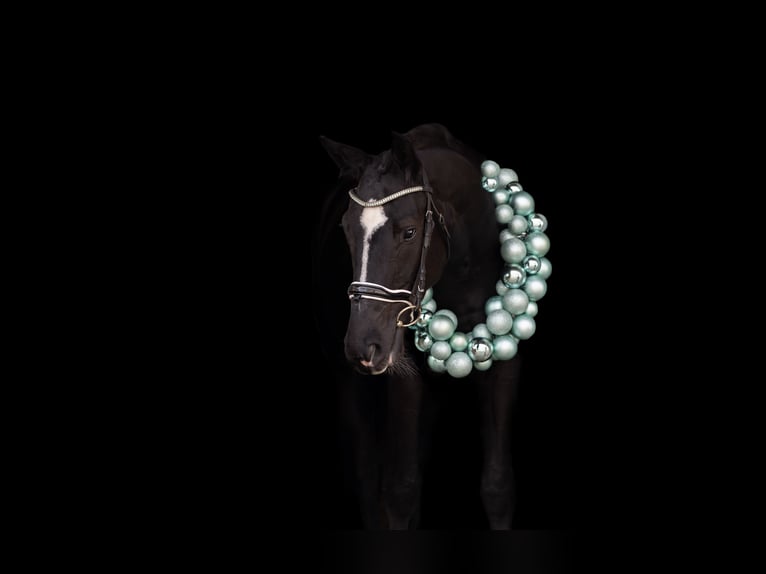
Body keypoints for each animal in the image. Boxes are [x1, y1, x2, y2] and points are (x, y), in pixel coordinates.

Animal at [312, 123, 551, 529]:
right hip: (352, 387)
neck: (462, 274)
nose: (363, 347)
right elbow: (399, 490)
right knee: (367, 474)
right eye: (345, 230)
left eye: (409, 232)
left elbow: (498, 486)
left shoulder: (505, 366)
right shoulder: (404, 375)